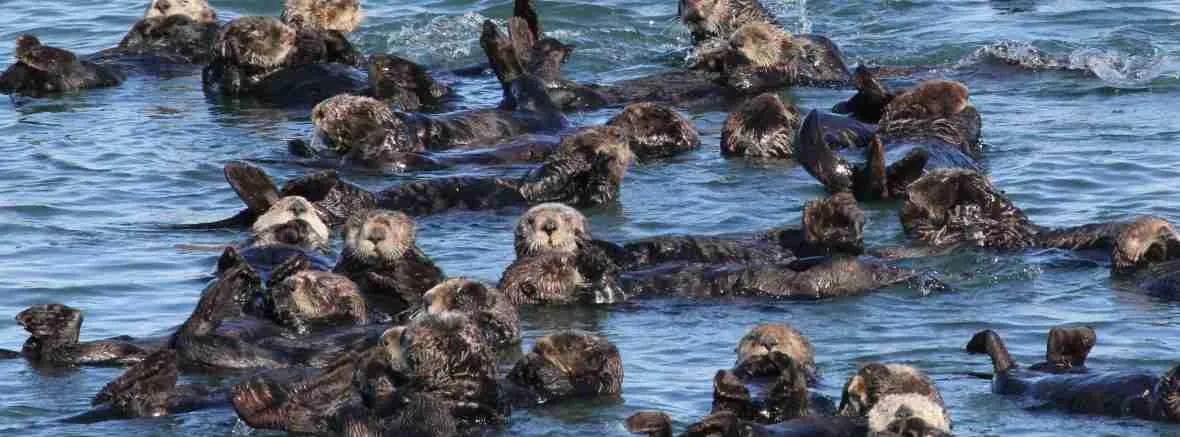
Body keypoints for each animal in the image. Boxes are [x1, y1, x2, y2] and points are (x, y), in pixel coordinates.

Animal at [966, 328, 1180, 423]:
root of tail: (1012, 369)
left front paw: (1170, 381)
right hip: (1057, 367)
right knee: (1059, 354)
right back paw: (1077, 336)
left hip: (1012, 382)